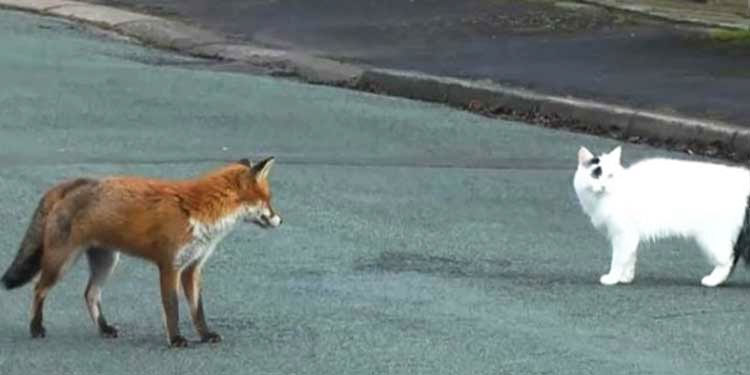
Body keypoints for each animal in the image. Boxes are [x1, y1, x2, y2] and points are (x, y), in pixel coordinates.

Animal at [0, 157, 282, 348]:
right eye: (267, 201)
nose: (281, 220)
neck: (201, 212)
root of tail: (74, 183)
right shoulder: (170, 266)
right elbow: (172, 308)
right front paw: (176, 339)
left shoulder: (192, 268)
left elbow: (197, 310)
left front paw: (205, 335)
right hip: (62, 262)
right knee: (39, 288)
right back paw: (36, 328)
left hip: (107, 262)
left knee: (90, 294)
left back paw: (104, 329)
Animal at [576, 145, 750, 286]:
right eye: (595, 175)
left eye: (610, 176)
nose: (604, 186)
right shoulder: (630, 237)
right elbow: (630, 258)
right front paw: (626, 278)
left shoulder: (623, 234)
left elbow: (618, 260)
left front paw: (612, 278)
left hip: (712, 238)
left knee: (727, 260)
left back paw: (712, 281)